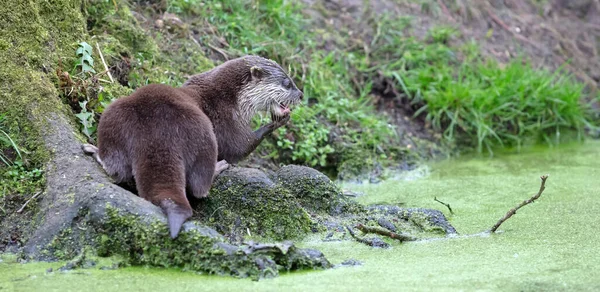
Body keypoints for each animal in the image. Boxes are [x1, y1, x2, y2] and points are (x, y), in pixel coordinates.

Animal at [82, 54, 302, 237]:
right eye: (287, 83)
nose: (300, 94)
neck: (233, 98)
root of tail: (159, 134)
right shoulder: (226, 118)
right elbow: (239, 147)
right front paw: (279, 120)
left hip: (113, 115)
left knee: (117, 170)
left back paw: (93, 150)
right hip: (205, 137)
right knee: (199, 188)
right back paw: (219, 167)